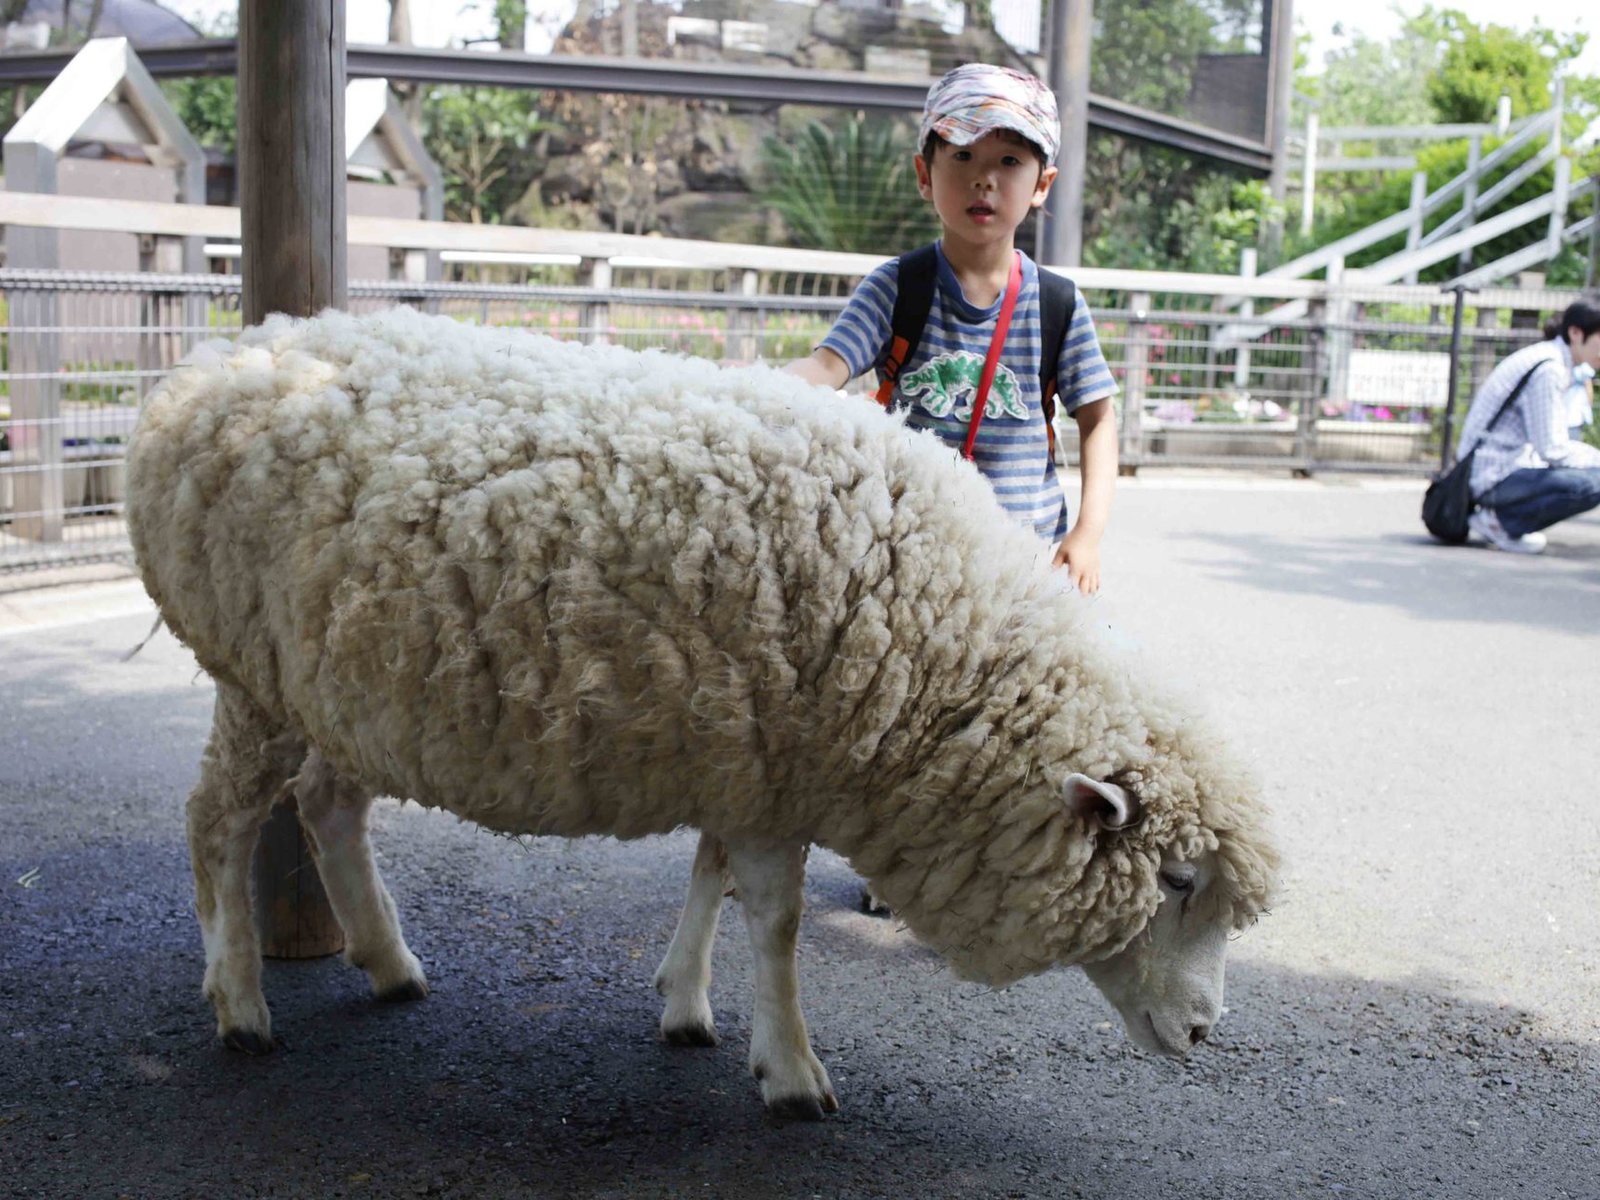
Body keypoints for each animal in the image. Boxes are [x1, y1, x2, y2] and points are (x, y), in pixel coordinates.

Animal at [121, 305, 1273, 1126]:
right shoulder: (771, 759)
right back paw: (240, 1006)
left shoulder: (745, 753)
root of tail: (205, 368)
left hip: (344, 683)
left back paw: (388, 963)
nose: (1204, 1034)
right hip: (255, 671)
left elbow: (712, 875)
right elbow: (776, 921)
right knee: (218, 819)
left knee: (328, 807)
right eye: (1175, 882)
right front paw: (793, 1070)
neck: (940, 658)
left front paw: (683, 1001)